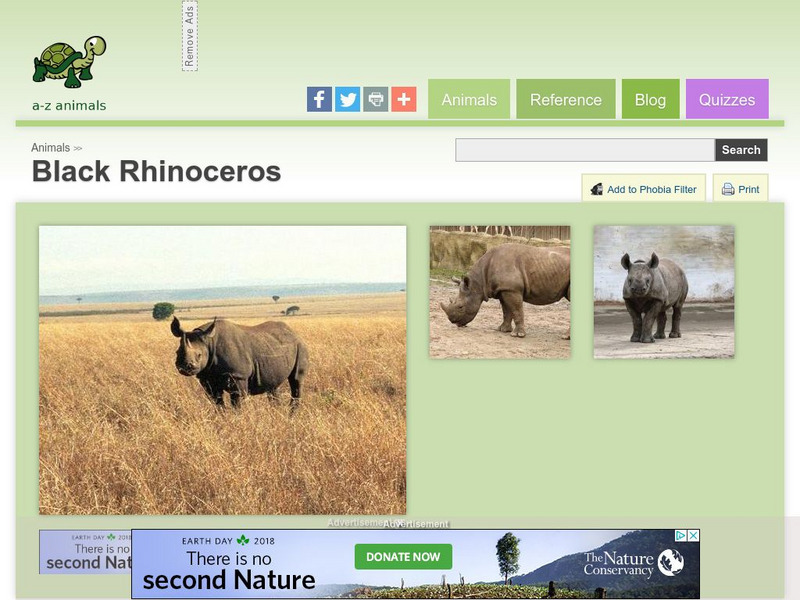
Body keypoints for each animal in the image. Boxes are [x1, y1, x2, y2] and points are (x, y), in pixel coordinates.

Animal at [171, 317, 309, 412]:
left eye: (199, 355)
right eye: (177, 352)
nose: (186, 367)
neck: (209, 342)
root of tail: (294, 332)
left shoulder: (238, 376)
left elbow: (237, 403)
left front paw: (238, 421)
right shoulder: (207, 377)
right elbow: (217, 402)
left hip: (300, 346)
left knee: (296, 381)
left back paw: (292, 415)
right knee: (273, 386)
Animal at [440, 244, 570, 338]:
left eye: (460, 307)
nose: (453, 322)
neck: (478, 283)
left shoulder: (512, 289)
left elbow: (516, 310)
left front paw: (518, 335)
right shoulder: (504, 289)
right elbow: (506, 311)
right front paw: (503, 330)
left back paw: (565, 337)